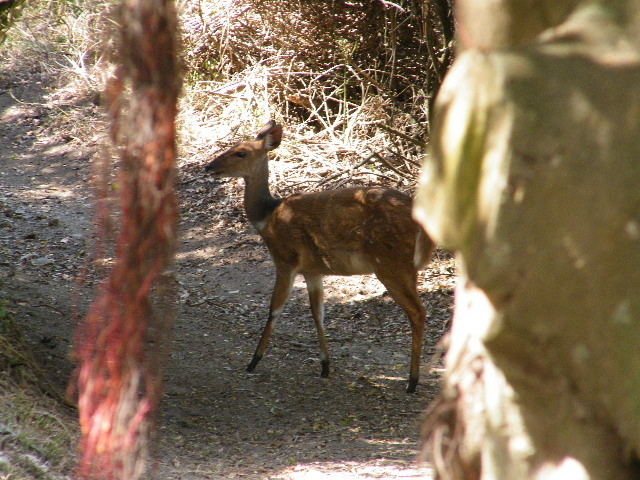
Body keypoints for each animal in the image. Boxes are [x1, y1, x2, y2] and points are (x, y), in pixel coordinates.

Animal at [205, 121, 436, 394]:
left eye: (241, 152)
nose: (209, 167)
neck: (267, 217)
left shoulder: (285, 259)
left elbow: (275, 308)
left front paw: (253, 361)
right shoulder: (313, 269)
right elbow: (318, 313)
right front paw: (325, 367)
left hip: (391, 265)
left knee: (417, 311)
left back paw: (412, 382)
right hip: (403, 268)